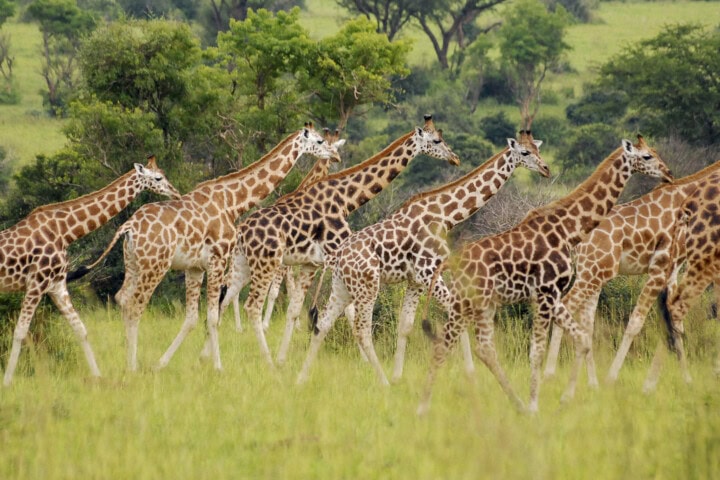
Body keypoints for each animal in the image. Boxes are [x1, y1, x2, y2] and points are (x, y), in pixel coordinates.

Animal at [1, 156, 181, 386]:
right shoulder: (36, 283)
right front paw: (7, 381)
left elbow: (80, 329)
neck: (65, 232)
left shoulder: (56, 285)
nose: (176, 193)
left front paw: (98, 377)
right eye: (158, 177)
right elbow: (20, 332)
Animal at [228, 128, 346, 333]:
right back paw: (238, 327)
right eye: (323, 143)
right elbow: (278, 291)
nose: (337, 158)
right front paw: (267, 325)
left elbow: (289, 289)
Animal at [296, 132, 551, 385]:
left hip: (342, 286)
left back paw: (302, 378)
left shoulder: (416, 280)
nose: (546, 169)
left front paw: (398, 376)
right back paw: (382, 382)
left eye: (538, 149)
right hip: (367, 285)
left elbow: (405, 325)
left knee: (323, 323)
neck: (446, 215)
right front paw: (471, 373)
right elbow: (455, 315)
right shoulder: (429, 272)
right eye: (525, 152)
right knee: (361, 329)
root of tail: (337, 257)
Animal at [416, 136, 674, 414]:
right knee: (443, 345)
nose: (669, 173)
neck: (568, 229)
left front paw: (561, 399)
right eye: (647, 156)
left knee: (483, 348)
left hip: (482, 304)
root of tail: (450, 262)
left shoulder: (553, 295)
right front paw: (535, 405)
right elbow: (537, 352)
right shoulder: (545, 293)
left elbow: (582, 339)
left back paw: (515, 403)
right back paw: (422, 408)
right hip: (465, 302)